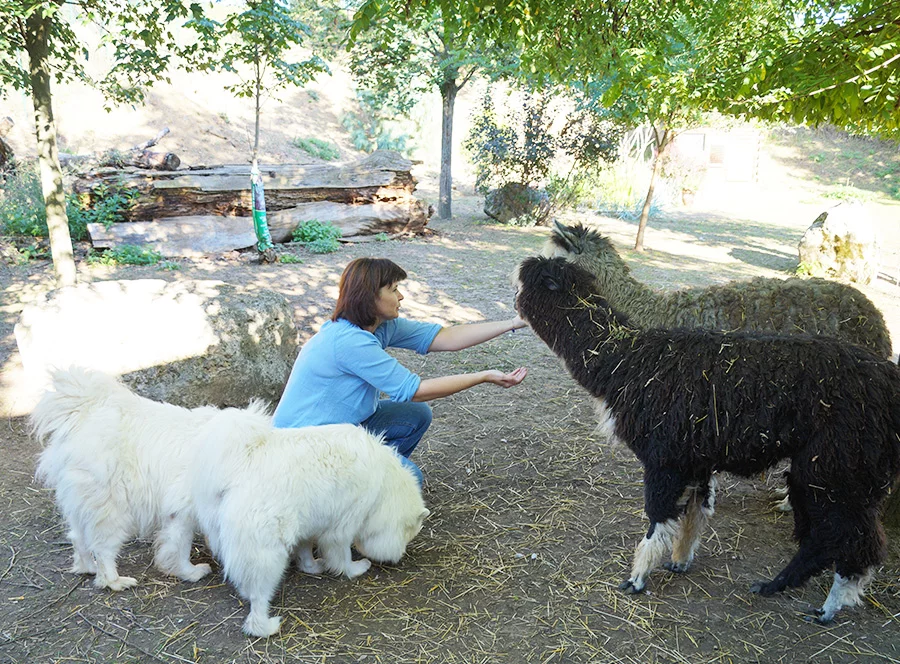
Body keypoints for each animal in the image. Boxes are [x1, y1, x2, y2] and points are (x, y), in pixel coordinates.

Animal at [31, 368, 239, 592]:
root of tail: (82, 413)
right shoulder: (180, 513)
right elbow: (179, 547)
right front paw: (190, 572)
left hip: (81, 506)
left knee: (78, 539)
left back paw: (89, 568)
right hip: (111, 511)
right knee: (103, 549)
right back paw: (115, 581)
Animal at [192, 408, 428, 640]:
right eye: (408, 535)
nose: (400, 556)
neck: (385, 489)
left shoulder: (309, 525)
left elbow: (306, 553)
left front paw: (315, 566)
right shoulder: (344, 524)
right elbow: (342, 556)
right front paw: (356, 568)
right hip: (266, 554)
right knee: (257, 602)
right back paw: (267, 626)